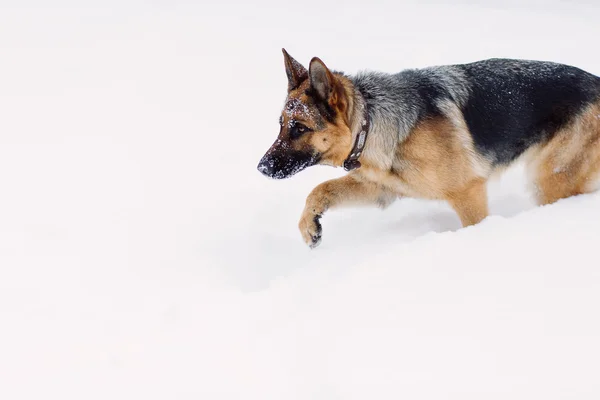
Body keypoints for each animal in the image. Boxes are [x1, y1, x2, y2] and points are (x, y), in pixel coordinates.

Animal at [256, 49, 600, 247]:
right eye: (281, 124)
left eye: (300, 128)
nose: (261, 167)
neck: (370, 121)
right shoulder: (382, 190)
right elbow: (320, 189)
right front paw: (309, 226)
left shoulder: (469, 193)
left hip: (550, 179)